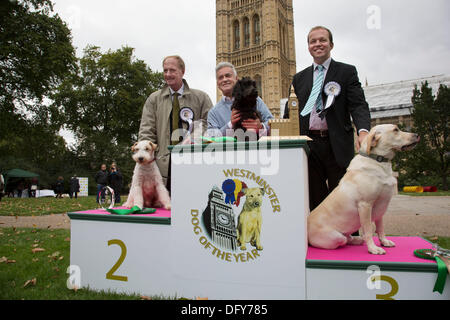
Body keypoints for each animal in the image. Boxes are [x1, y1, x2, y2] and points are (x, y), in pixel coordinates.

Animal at [308, 125, 420, 255]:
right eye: (396, 129)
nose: (417, 135)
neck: (378, 161)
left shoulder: (381, 207)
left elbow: (380, 228)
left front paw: (384, 242)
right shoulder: (365, 205)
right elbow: (368, 230)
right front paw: (373, 248)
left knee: (348, 238)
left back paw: (357, 239)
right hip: (336, 237)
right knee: (344, 240)